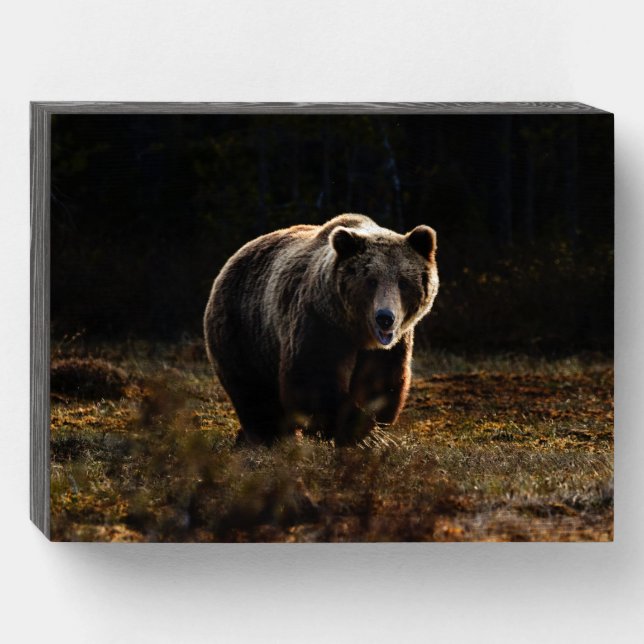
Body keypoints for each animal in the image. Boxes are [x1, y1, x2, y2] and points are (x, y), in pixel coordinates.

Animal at [203, 214, 439, 446]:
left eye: (403, 282)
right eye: (371, 281)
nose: (385, 318)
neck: (356, 331)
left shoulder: (391, 346)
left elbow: (380, 382)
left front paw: (371, 430)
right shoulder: (319, 323)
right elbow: (313, 379)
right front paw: (360, 433)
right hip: (244, 330)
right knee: (253, 392)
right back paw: (269, 436)